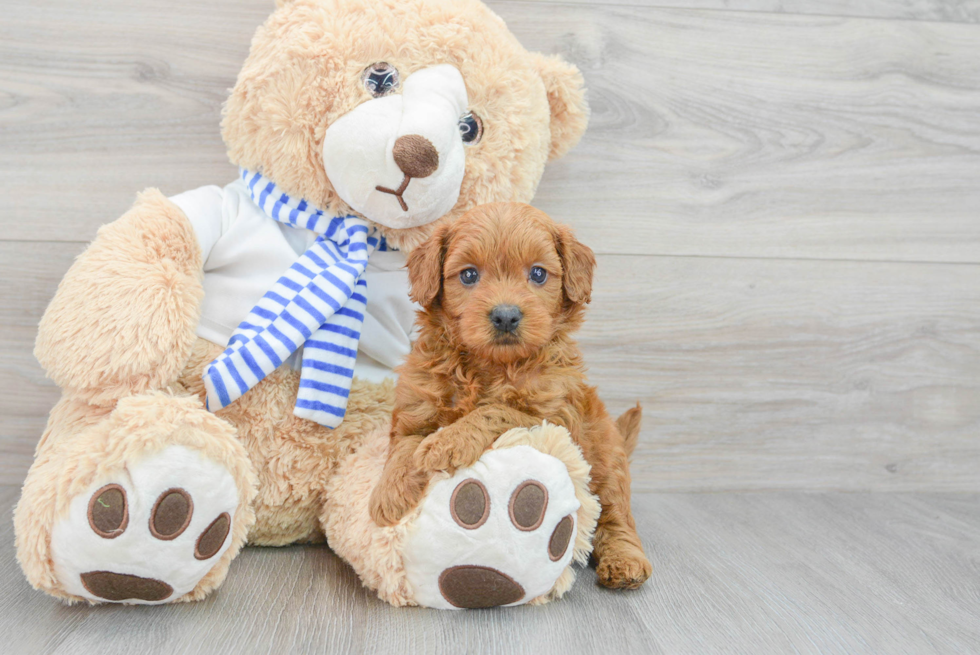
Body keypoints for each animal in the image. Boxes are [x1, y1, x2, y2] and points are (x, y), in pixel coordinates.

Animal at [368, 201, 652, 588]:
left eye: (538, 273)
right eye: (469, 275)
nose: (505, 316)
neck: (491, 366)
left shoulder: (555, 417)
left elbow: (496, 410)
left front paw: (449, 441)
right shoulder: (417, 405)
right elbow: (404, 446)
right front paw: (388, 493)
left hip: (607, 462)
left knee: (616, 515)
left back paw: (626, 561)